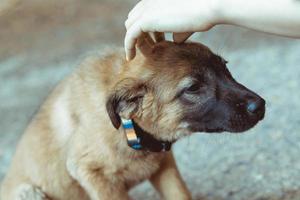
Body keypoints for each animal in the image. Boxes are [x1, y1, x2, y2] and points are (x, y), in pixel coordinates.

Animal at [0, 33, 264, 200]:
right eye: (193, 88)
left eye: (225, 67)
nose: (260, 106)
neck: (130, 128)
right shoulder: (92, 174)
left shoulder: (165, 167)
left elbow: (181, 194)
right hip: (30, 192)